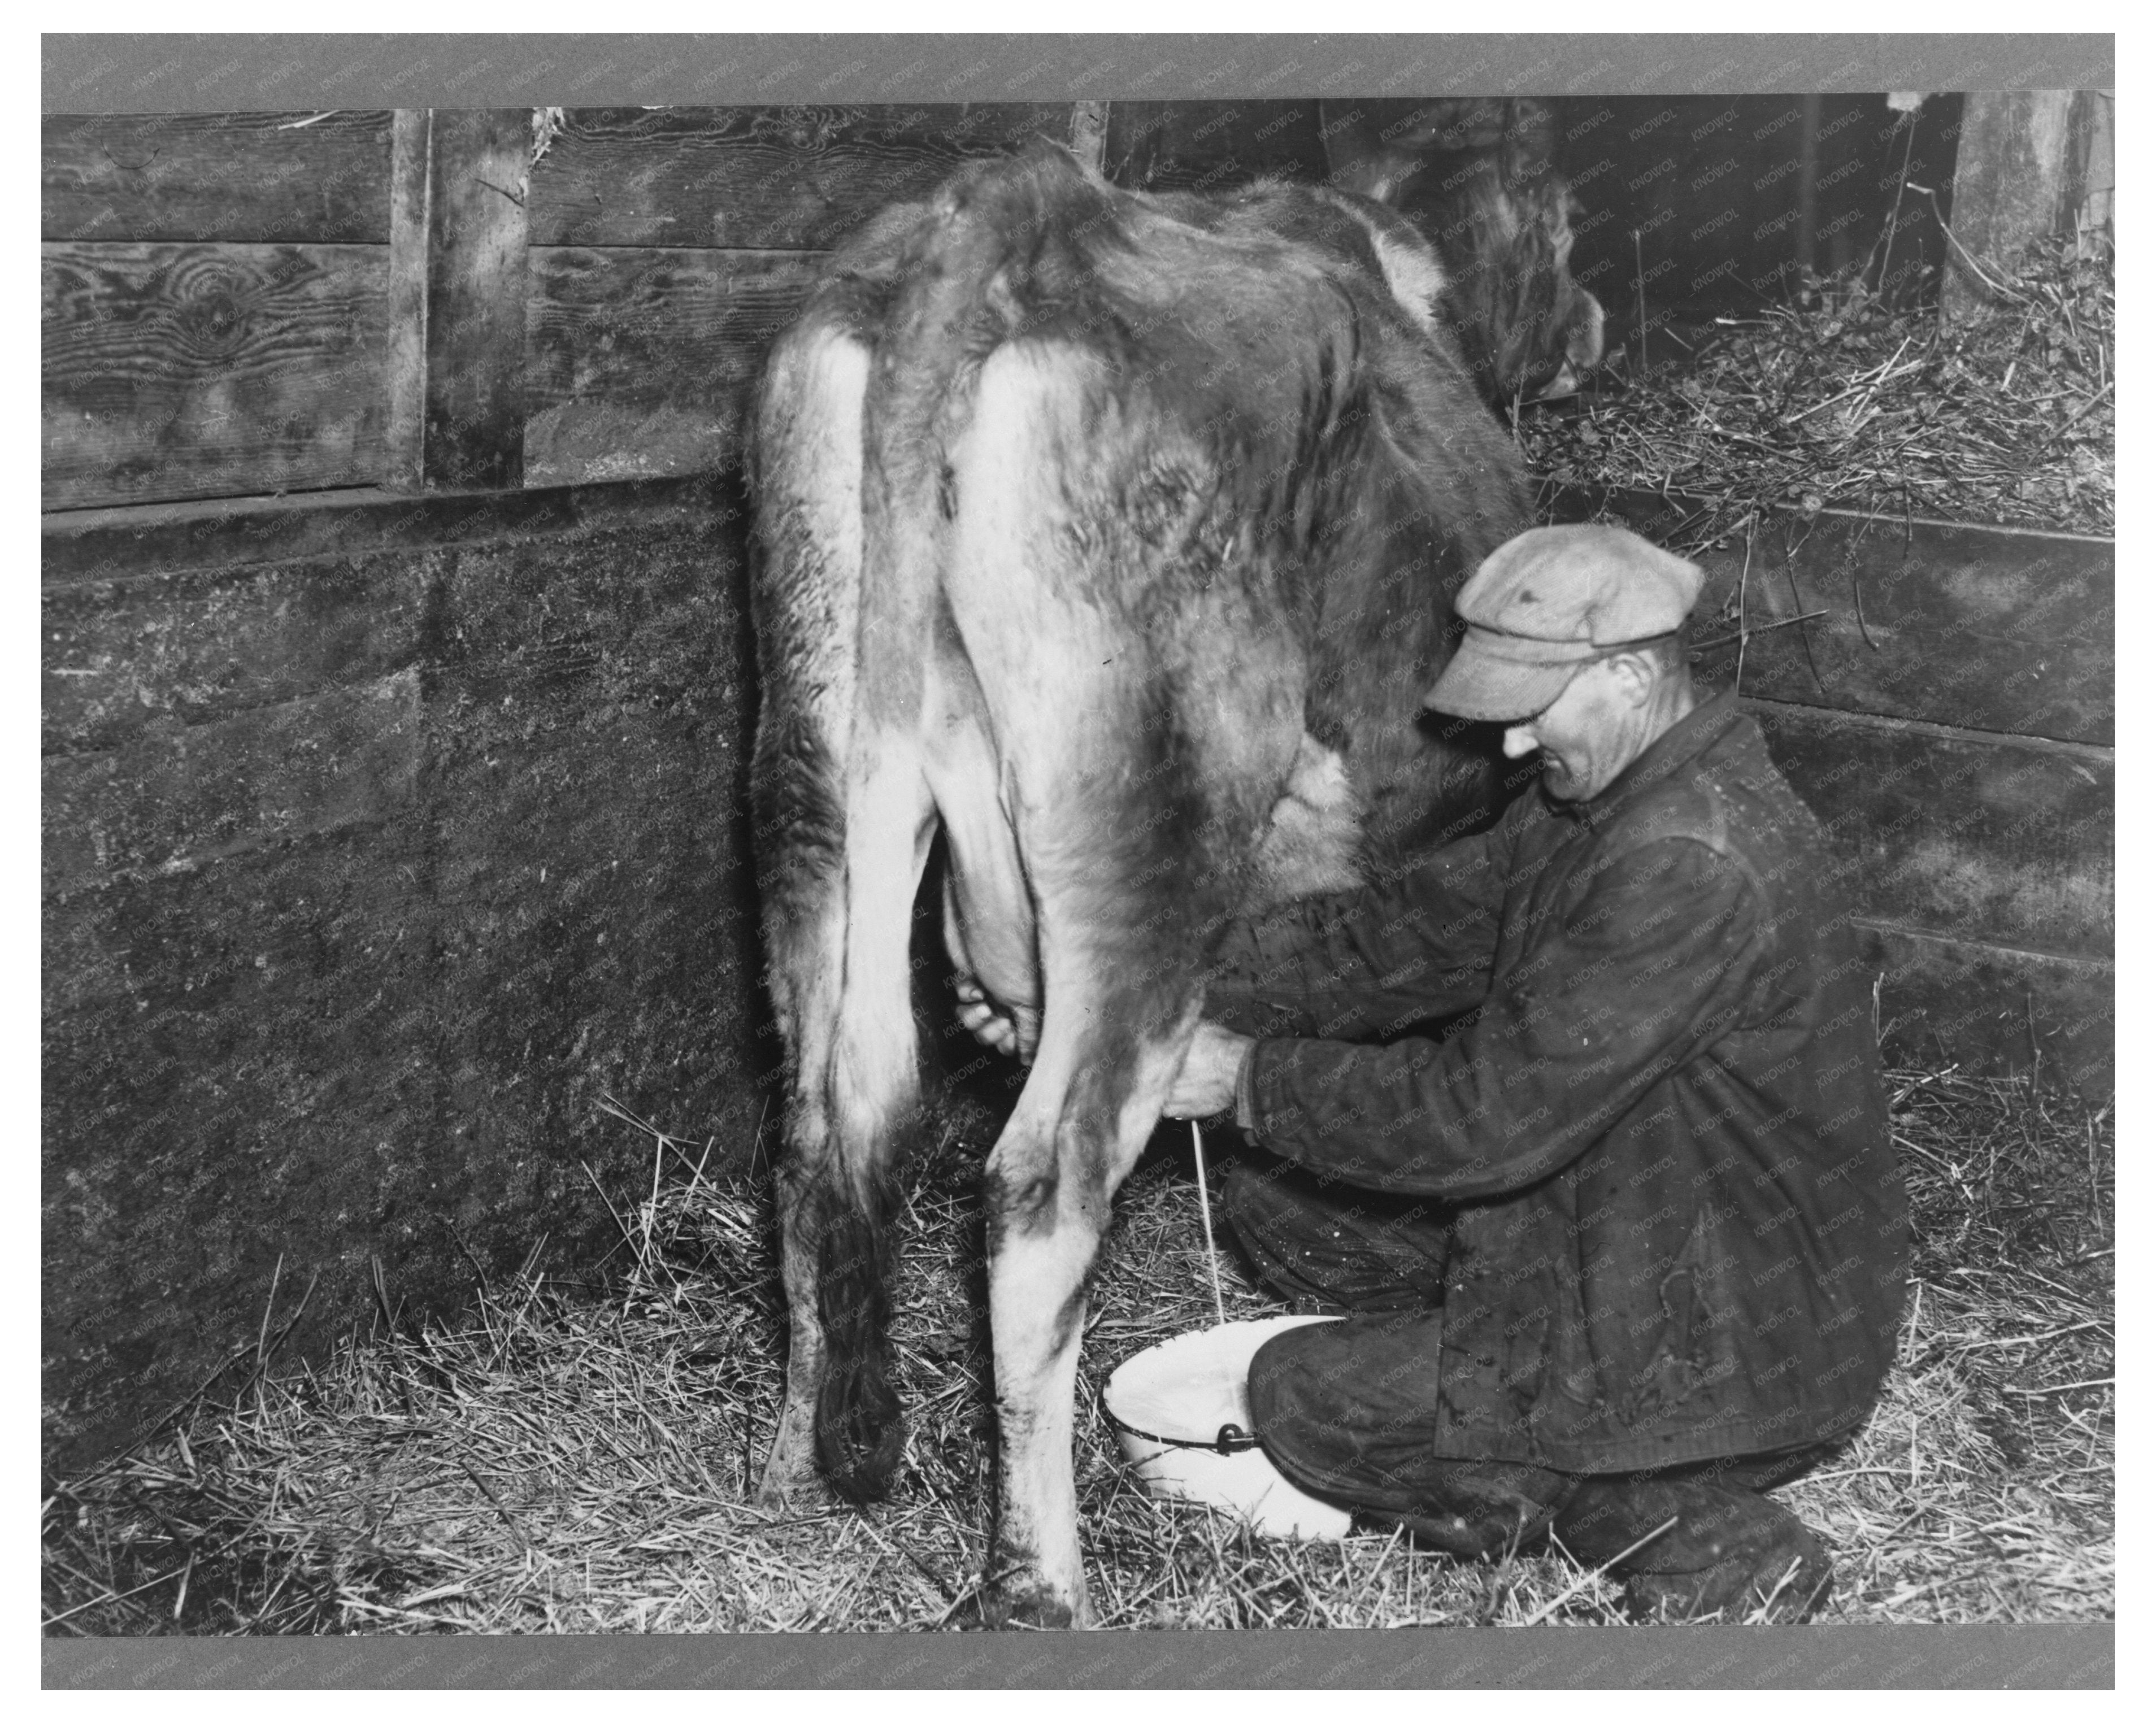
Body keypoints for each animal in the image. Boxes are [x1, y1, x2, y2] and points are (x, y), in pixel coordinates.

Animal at [741, 138, 1604, 1630]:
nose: (1594, 321)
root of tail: (1013, 216)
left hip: (815, 767)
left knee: (819, 1129)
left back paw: (812, 1461)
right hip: (1150, 820)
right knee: (1040, 1186)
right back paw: (1042, 1584)